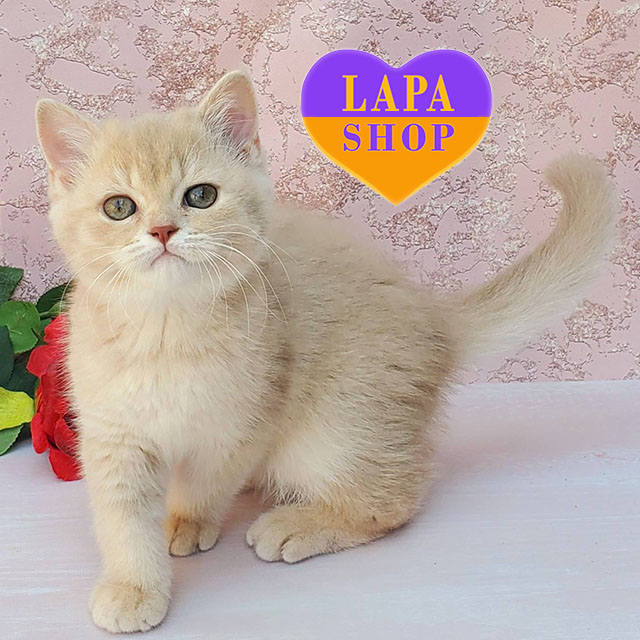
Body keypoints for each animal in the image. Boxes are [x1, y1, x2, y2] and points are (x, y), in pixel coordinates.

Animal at [35, 70, 615, 633]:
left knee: (394, 498)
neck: (167, 329)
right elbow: (123, 520)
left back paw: (296, 524)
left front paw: (187, 520)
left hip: (337, 425)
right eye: (118, 207)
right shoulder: (113, 434)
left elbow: (206, 481)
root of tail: (436, 316)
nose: (162, 230)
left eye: (200, 196)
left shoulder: (244, 421)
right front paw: (133, 586)